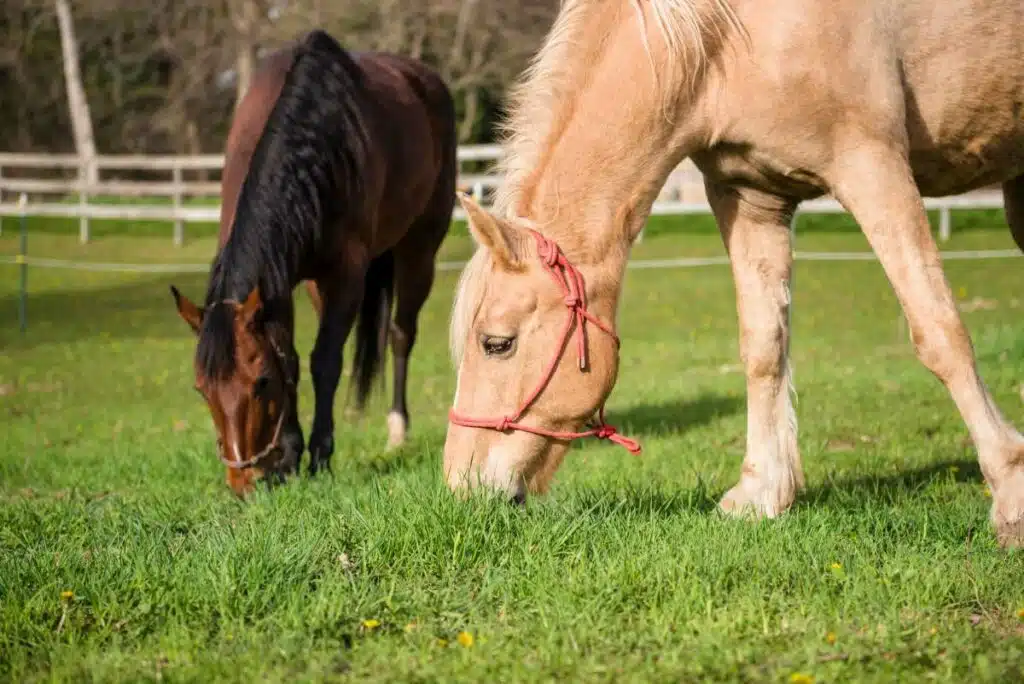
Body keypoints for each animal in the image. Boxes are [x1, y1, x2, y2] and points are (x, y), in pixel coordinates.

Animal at [170, 29, 457, 497]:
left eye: (259, 383)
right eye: (201, 389)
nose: (243, 482)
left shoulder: (345, 274)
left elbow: (325, 362)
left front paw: (320, 455)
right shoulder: (279, 280)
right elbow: (289, 356)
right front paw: (289, 453)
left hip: (420, 250)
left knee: (401, 335)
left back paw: (398, 431)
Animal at [444, 0, 1024, 547]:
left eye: (497, 343)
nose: (460, 488)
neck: (729, 36)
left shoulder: (872, 166)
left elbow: (940, 333)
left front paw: (1011, 499)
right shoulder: (750, 195)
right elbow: (764, 346)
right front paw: (762, 491)